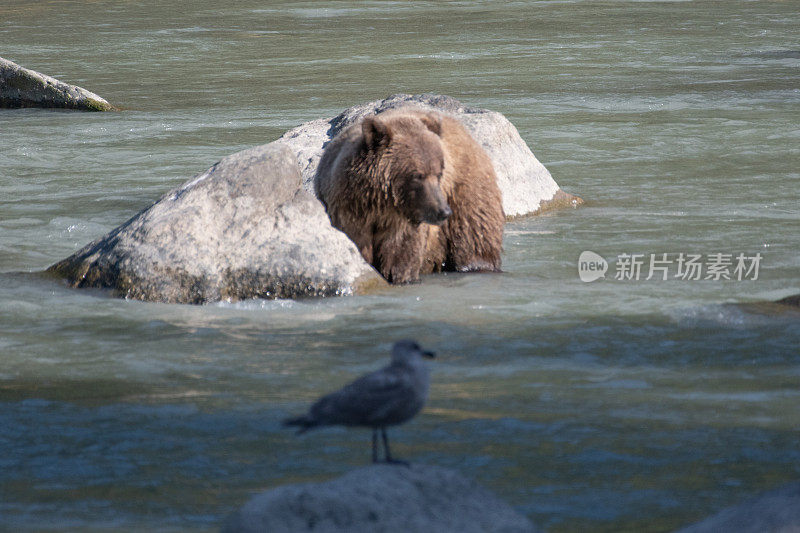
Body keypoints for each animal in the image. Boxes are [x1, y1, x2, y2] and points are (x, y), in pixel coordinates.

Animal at [316, 106, 504, 284]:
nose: (443, 211)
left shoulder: (405, 221)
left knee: (473, 234)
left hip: (466, 189)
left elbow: (401, 253)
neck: (379, 204)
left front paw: (399, 276)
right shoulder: (348, 211)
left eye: (439, 174)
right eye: (417, 175)